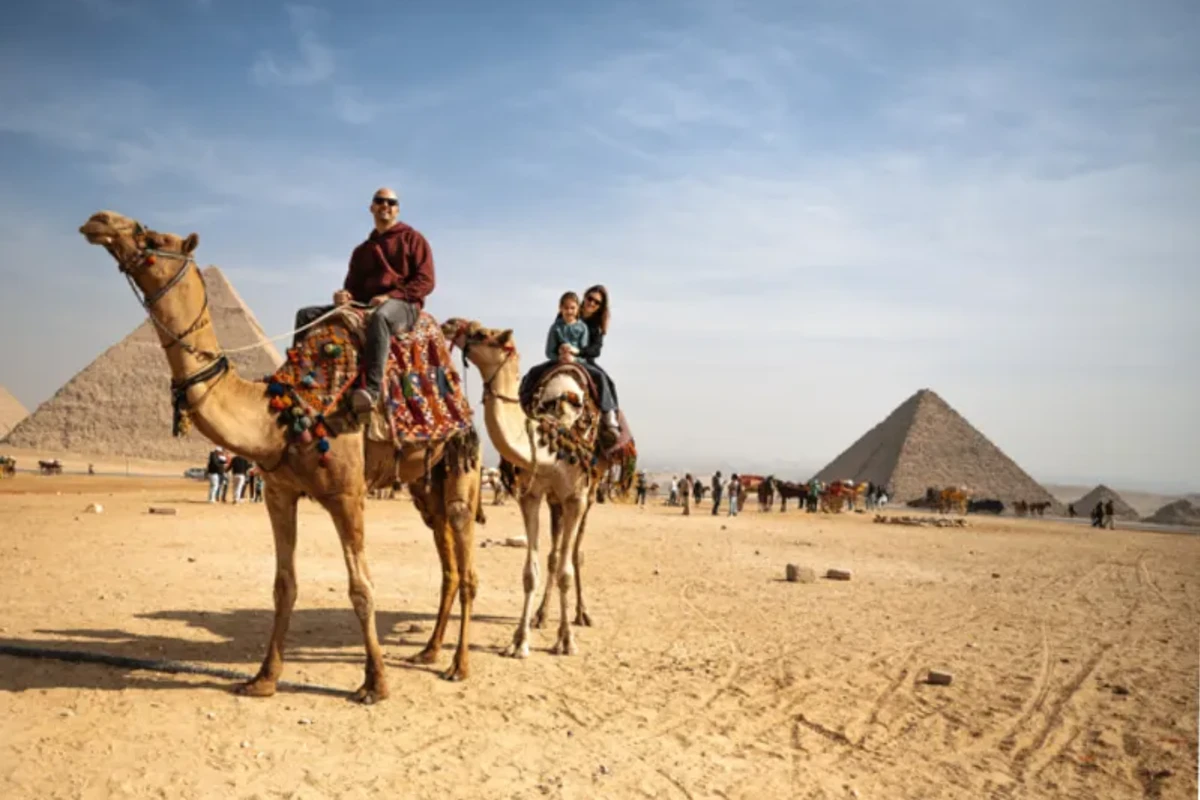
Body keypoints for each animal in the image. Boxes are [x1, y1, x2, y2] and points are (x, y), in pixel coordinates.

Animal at [78, 211, 484, 702]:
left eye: (152, 236)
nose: (99, 220)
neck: (283, 412)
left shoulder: (348, 495)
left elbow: (361, 589)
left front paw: (375, 682)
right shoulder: (278, 493)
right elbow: (283, 585)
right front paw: (264, 677)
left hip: (463, 469)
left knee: (466, 568)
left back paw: (459, 665)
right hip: (425, 484)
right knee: (447, 565)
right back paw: (429, 651)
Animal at [442, 318, 607, 659]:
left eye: (482, 333)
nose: (449, 324)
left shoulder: (576, 497)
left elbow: (568, 570)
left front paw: (567, 641)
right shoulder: (531, 495)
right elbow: (531, 571)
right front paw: (519, 641)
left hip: (589, 495)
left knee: (575, 554)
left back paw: (582, 614)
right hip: (555, 502)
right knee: (555, 555)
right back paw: (541, 616)